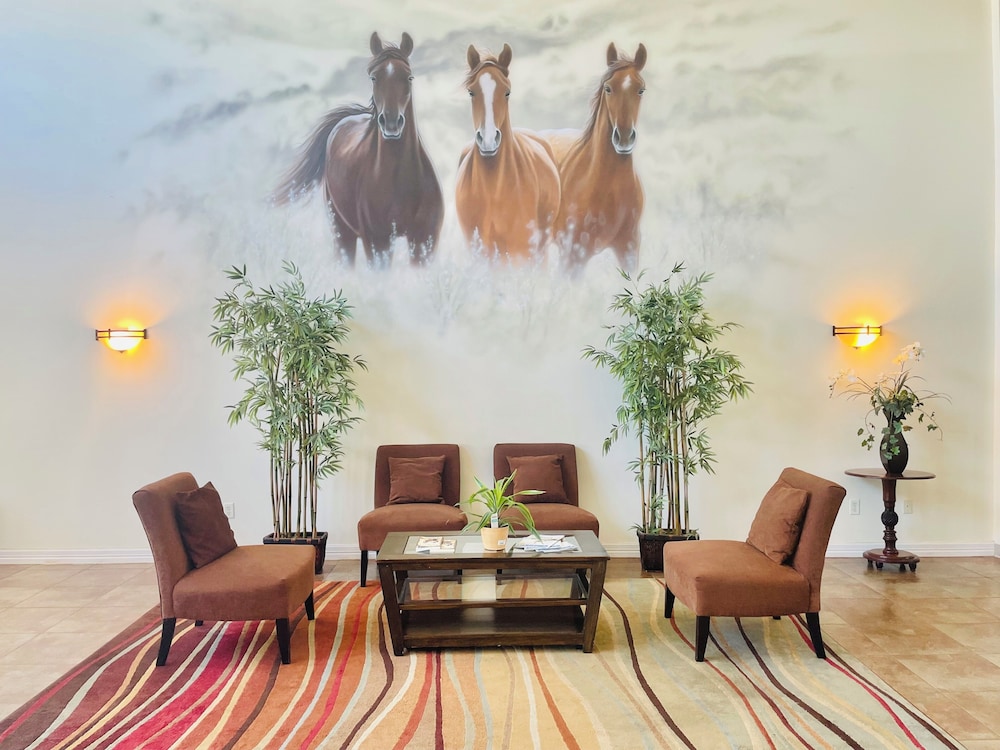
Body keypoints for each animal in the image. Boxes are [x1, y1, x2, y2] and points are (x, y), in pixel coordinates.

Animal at [273, 32, 444, 267]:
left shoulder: (424, 240)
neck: (401, 182)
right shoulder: (378, 242)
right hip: (341, 230)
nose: (391, 123)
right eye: (374, 78)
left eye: (409, 77)